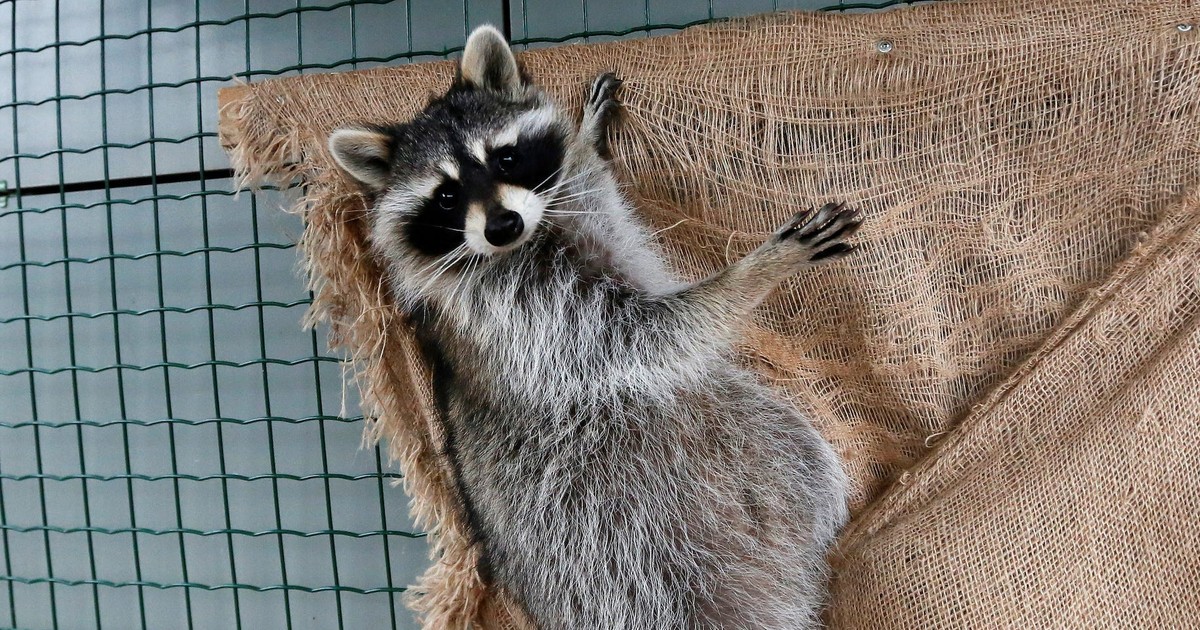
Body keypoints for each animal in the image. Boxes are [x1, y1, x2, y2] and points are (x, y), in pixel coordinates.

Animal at [328, 25, 857, 630]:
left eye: (506, 157)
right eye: (445, 195)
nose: (503, 225)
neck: (531, 238)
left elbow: (593, 190)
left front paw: (583, 140)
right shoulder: (522, 314)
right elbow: (647, 333)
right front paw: (754, 272)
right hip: (616, 544)